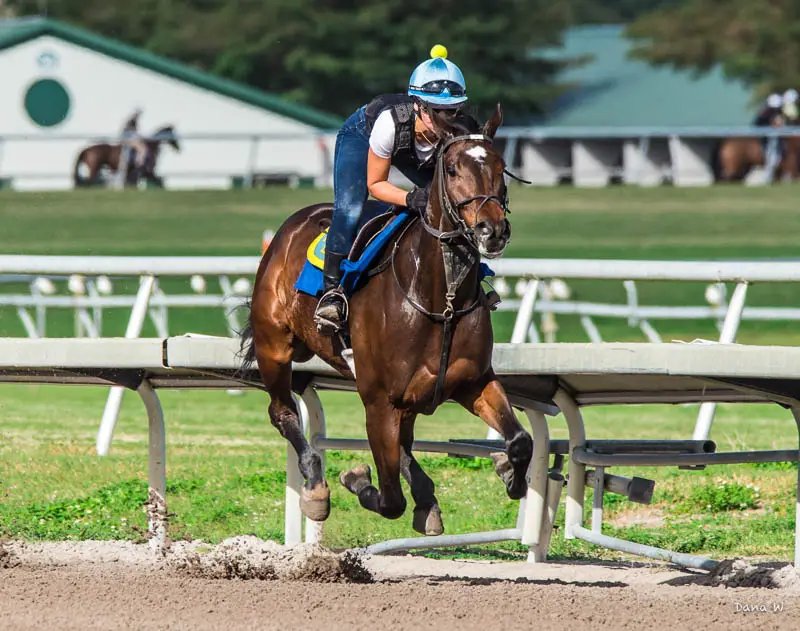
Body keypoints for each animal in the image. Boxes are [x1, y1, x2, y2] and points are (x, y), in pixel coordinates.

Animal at [238, 102, 536, 532]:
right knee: (282, 411)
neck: (440, 299)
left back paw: (427, 497)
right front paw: (355, 478)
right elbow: (390, 497)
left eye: (501, 166)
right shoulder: (378, 401)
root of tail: (291, 226)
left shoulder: (473, 382)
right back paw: (315, 486)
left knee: (406, 442)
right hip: (273, 345)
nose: (491, 229)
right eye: (452, 169)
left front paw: (511, 475)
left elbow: (521, 441)